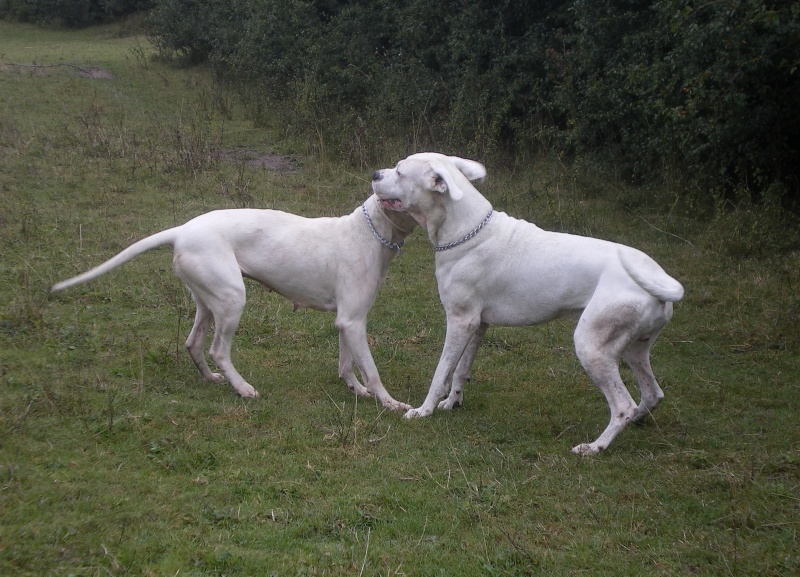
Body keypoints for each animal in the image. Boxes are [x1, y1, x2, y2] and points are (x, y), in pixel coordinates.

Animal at [52, 195, 418, 410]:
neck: (369, 232)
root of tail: (181, 230)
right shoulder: (353, 322)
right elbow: (371, 370)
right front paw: (390, 403)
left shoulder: (349, 320)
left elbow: (347, 364)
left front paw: (355, 389)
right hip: (232, 300)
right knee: (218, 350)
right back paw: (241, 388)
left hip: (208, 302)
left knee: (192, 343)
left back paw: (212, 379)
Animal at [372, 153, 684, 454]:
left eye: (399, 171)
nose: (375, 174)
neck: (465, 231)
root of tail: (658, 277)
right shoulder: (477, 324)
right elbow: (461, 369)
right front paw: (452, 403)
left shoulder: (460, 321)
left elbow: (442, 371)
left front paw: (424, 411)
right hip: (634, 349)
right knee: (652, 394)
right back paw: (637, 421)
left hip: (592, 347)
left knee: (623, 406)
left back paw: (595, 447)